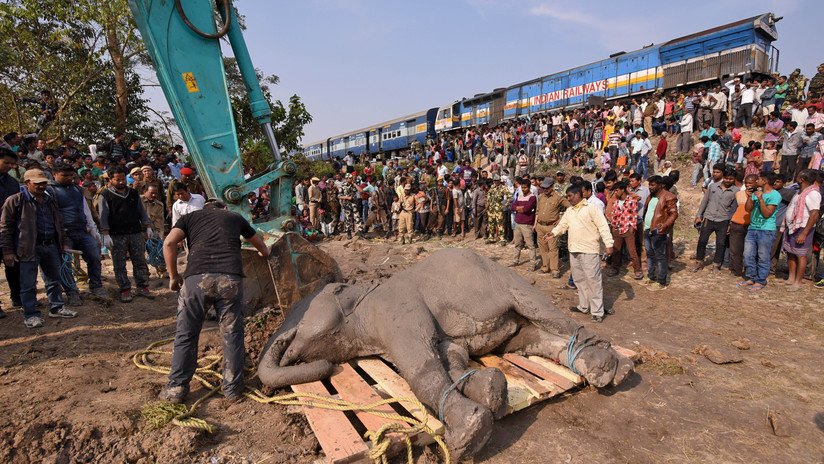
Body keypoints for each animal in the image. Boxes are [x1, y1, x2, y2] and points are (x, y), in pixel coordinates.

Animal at [260, 248, 636, 458]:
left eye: (301, 315)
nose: (326, 370)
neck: (364, 296)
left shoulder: (398, 310)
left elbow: (422, 366)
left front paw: (469, 437)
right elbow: (451, 356)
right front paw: (491, 391)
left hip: (507, 280)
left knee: (545, 312)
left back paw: (613, 368)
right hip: (513, 327)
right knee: (532, 336)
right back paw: (596, 366)